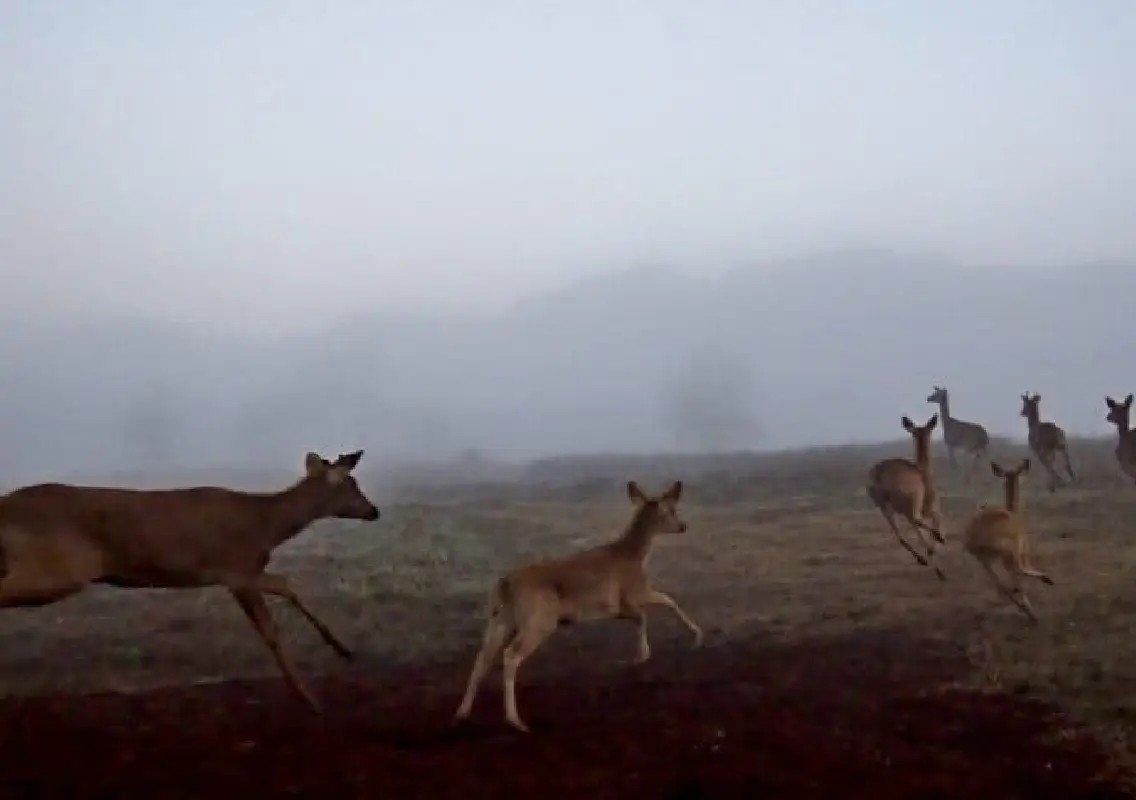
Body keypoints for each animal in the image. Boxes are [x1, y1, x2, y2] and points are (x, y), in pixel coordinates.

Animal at [0, 449, 380, 711]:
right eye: (352, 485)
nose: (374, 511)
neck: (266, 526)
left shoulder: (241, 573)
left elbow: (282, 595)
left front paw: (341, 652)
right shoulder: (236, 570)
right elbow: (273, 622)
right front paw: (311, 696)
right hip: (60, 567)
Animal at [453, 479, 702, 733]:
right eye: (669, 511)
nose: (683, 526)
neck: (634, 556)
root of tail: (505, 584)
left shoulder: (619, 607)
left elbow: (654, 609)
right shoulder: (632, 595)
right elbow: (659, 606)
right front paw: (652, 652)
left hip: (501, 620)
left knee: (482, 658)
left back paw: (462, 713)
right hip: (538, 622)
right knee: (510, 655)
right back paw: (515, 721)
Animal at [866, 414, 947, 580]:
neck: (923, 471)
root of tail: (879, 475)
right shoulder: (933, 511)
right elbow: (935, 528)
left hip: (885, 507)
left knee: (900, 535)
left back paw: (922, 560)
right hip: (913, 501)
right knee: (917, 522)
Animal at [961, 459, 1054, 623]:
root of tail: (974, 538)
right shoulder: (1023, 550)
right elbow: (1022, 571)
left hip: (986, 560)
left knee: (1000, 584)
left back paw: (1028, 611)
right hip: (1009, 553)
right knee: (1016, 571)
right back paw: (1044, 585)